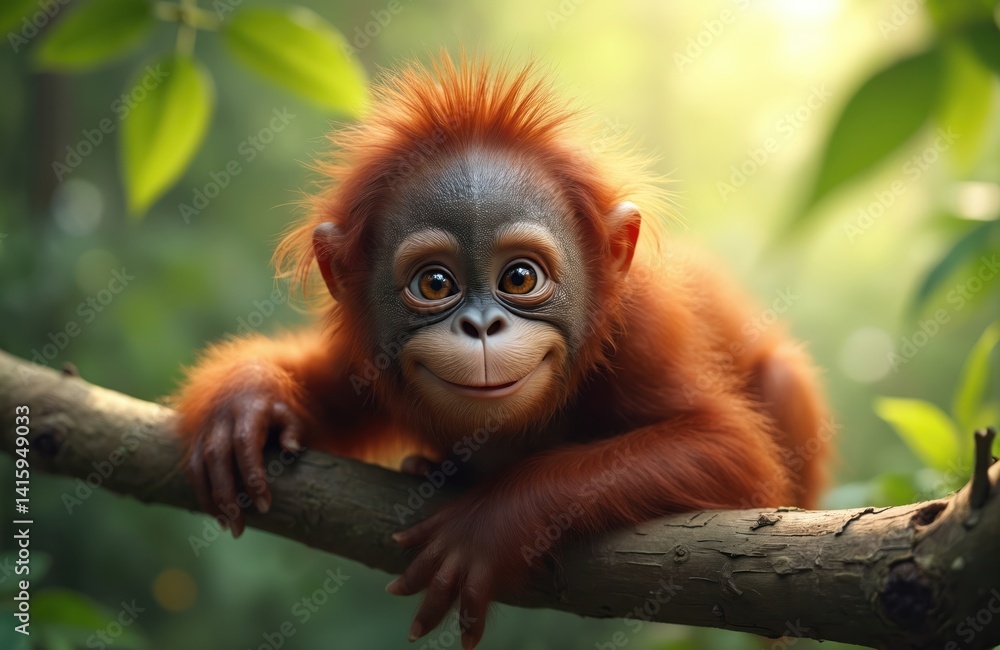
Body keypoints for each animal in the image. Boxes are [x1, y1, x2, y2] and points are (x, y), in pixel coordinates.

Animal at [172, 54, 830, 649]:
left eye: (519, 277)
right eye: (435, 284)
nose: (482, 325)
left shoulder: (643, 325)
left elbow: (731, 448)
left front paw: (491, 523)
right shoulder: (363, 349)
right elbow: (330, 394)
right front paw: (246, 404)